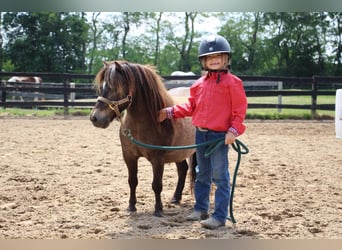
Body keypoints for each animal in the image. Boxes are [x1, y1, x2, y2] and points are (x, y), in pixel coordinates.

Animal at [89, 60, 196, 217]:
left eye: (114, 86)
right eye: (102, 86)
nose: (95, 118)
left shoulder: (158, 159)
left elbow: (157, 185)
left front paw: (158, 209)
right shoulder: (129, 156)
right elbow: (132, 181)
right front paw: (131, 206)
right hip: (179, 152)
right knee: (183, 169)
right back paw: (176, 198)